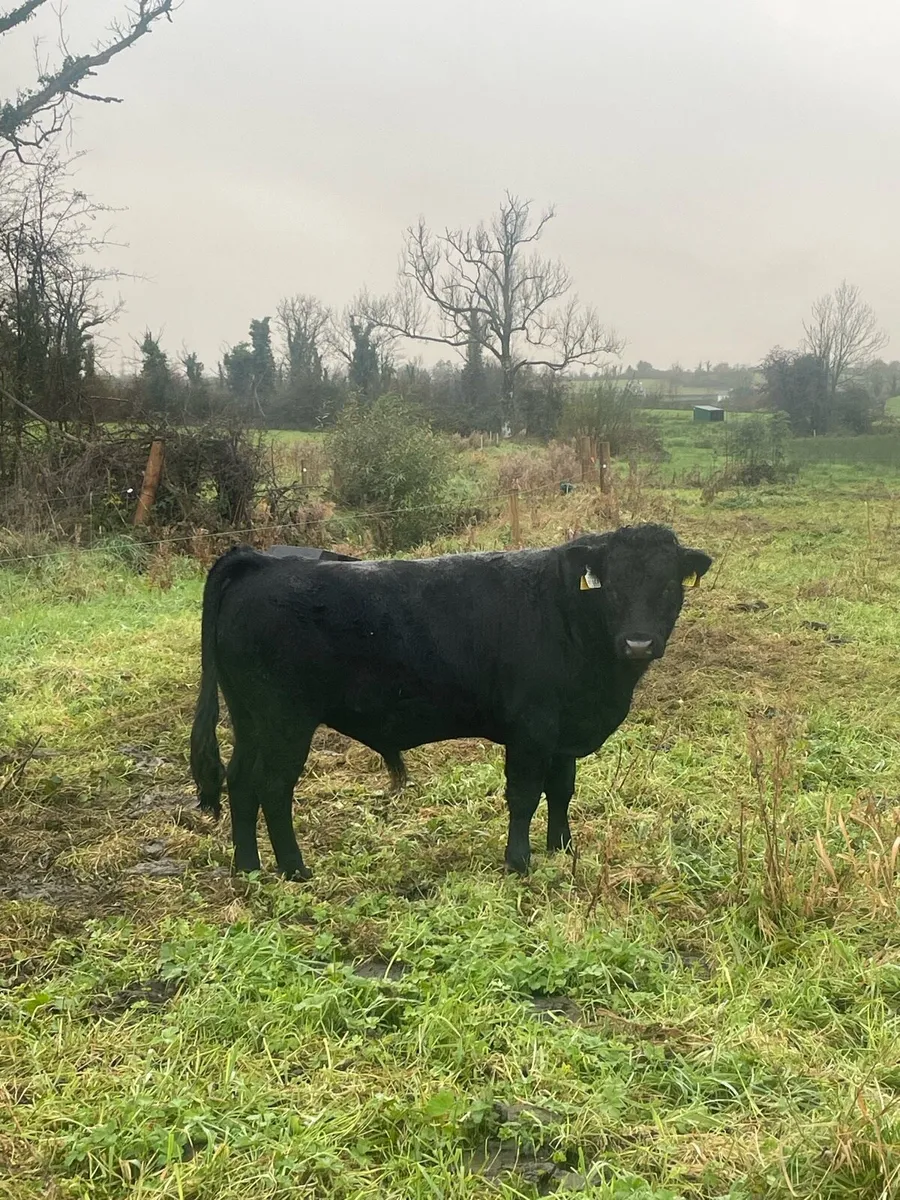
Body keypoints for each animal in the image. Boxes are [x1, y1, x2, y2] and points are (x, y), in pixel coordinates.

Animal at [190, 523, 712, 880]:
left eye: (669, 585)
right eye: (615, 587)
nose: (638, 643)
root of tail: (262, 562)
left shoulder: (564, 733)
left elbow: (562, 790)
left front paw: (562, 849)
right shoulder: (531, 730)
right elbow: (524, 795)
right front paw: (518, 862)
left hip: (251, 719)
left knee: (241, 781)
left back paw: (248, 867)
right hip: (284, 721)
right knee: (273, 787)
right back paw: (295, 869)